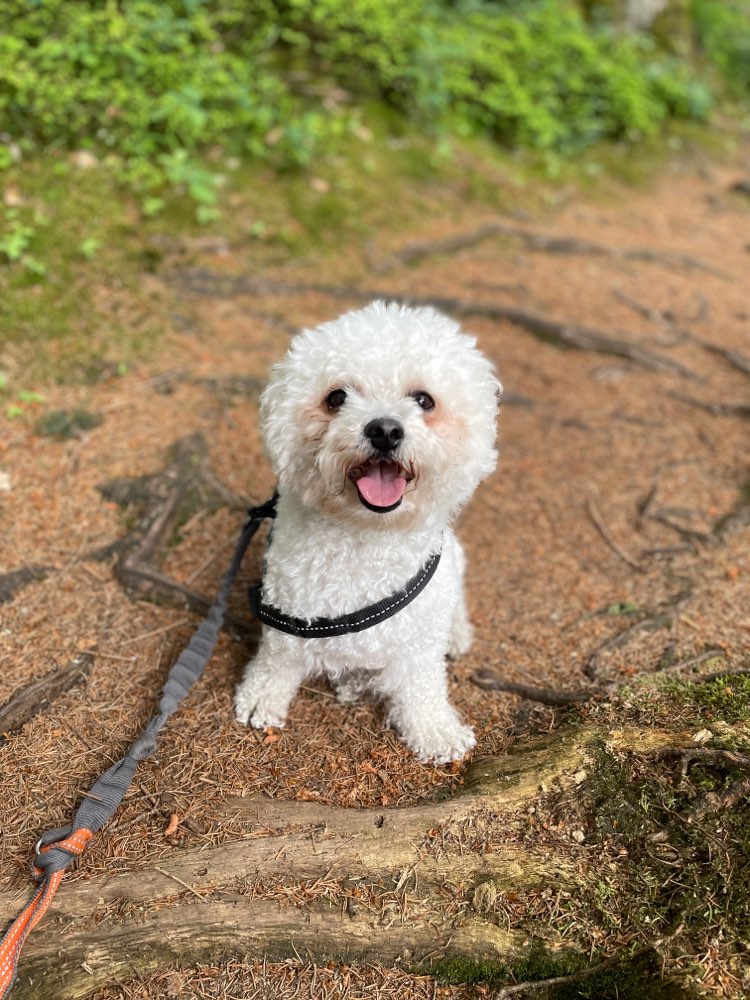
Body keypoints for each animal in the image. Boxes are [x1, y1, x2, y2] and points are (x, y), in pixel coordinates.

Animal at [238, 300, 502, 760]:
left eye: (424, 400)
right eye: (337, 397)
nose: (384, 429)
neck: (365, 537)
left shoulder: (419, 642)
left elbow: (423, 685)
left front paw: (435, 730)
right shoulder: (286, 612)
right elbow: (277, 659)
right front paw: (261, 696)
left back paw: (457, 633)